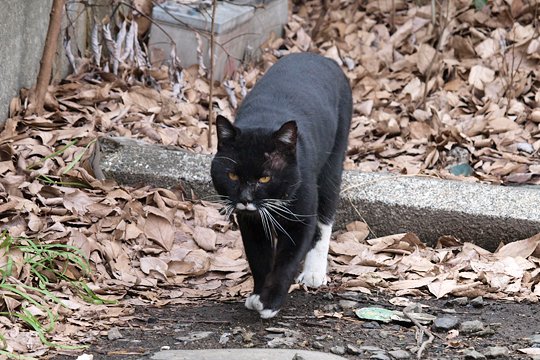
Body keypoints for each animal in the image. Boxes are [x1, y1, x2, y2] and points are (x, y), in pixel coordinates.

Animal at [209, 51, 352, 318]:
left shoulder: (301, 218)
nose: (245, 198)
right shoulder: (250, 223)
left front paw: (270, 303)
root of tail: (321, 57)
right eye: (232, 176)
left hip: (334, 159)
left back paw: (314, 272)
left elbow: (287, 260)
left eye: (265, 178)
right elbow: (259, 258)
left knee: (326, 213)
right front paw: (257, 296)